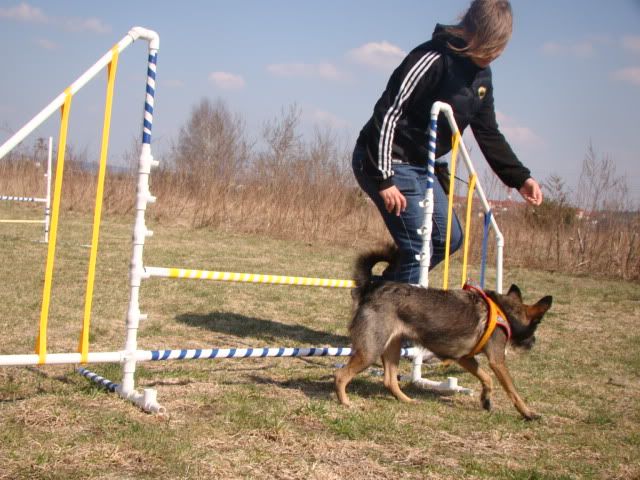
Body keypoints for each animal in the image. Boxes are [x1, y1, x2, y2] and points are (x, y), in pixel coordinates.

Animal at [334, 244, 553, 420]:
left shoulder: (465, 358)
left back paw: (407, 400)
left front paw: (486, 400)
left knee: (389, 380)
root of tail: (370, 289)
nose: (534, 343)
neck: (503, 311)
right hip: (370, 350)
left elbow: (486, 378)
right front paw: (528, 413)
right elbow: (512, 390)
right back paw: (345, 402)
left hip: (391, 348)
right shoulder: (497, 361)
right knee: (341, 375)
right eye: (537, 324)